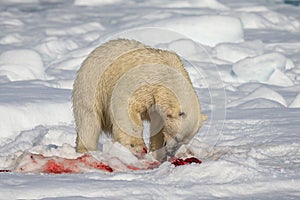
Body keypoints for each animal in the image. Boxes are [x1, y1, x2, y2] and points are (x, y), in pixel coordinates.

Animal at [72, 38, 206, 161]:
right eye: (177, 137)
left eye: (185, 141)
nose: (170, 152)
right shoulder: (142, 83)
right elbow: (126, 107)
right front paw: (137, 147)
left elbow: (158, 126)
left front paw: (157, 155)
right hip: (93, 85)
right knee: (89, 121)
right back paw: (86, 150)